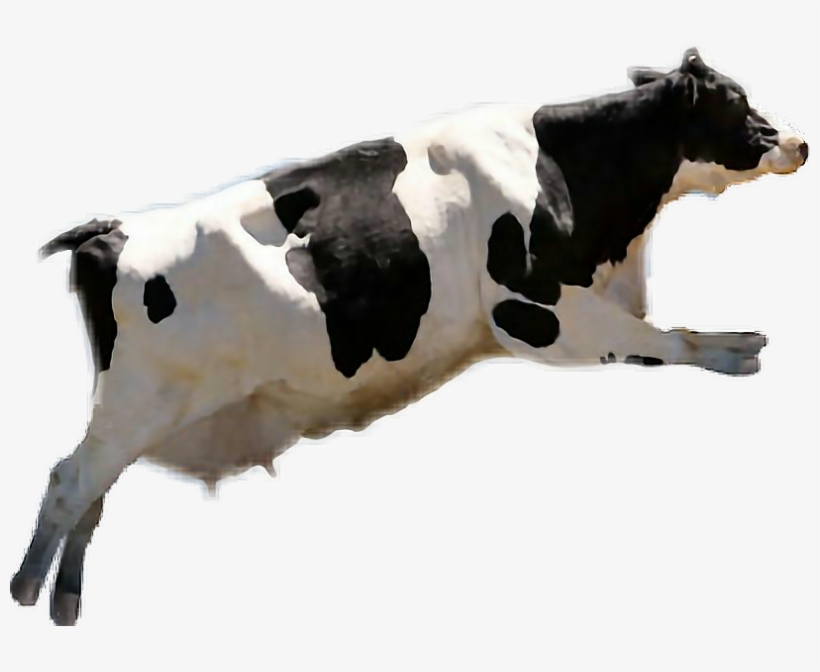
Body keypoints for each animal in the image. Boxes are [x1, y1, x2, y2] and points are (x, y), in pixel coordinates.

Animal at [10, 48, 809, 625]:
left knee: (94, 490)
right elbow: (668, 340)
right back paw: (26, 588)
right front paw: (741, 351)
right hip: (137, 401)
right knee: (70, 481)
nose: (800, 143)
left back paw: (66, 601)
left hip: (137, 411)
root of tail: (109, 229)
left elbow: (662, 332)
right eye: (735, 101)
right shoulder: (536, 314)